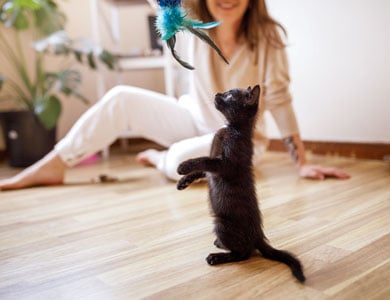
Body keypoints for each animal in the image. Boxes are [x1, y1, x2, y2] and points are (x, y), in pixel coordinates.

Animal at [177, 85, 304, 282]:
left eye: (229, 95)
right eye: (226, 91)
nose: (217, 94)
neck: (231, 129)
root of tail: (258, 236)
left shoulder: (226, 164)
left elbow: (204, 160)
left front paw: (184, 165)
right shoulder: (213, 167)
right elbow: (202, 169)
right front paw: (184, 181)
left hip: (222, 224)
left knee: (244, 254)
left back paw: (217, 257)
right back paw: (220, 245)